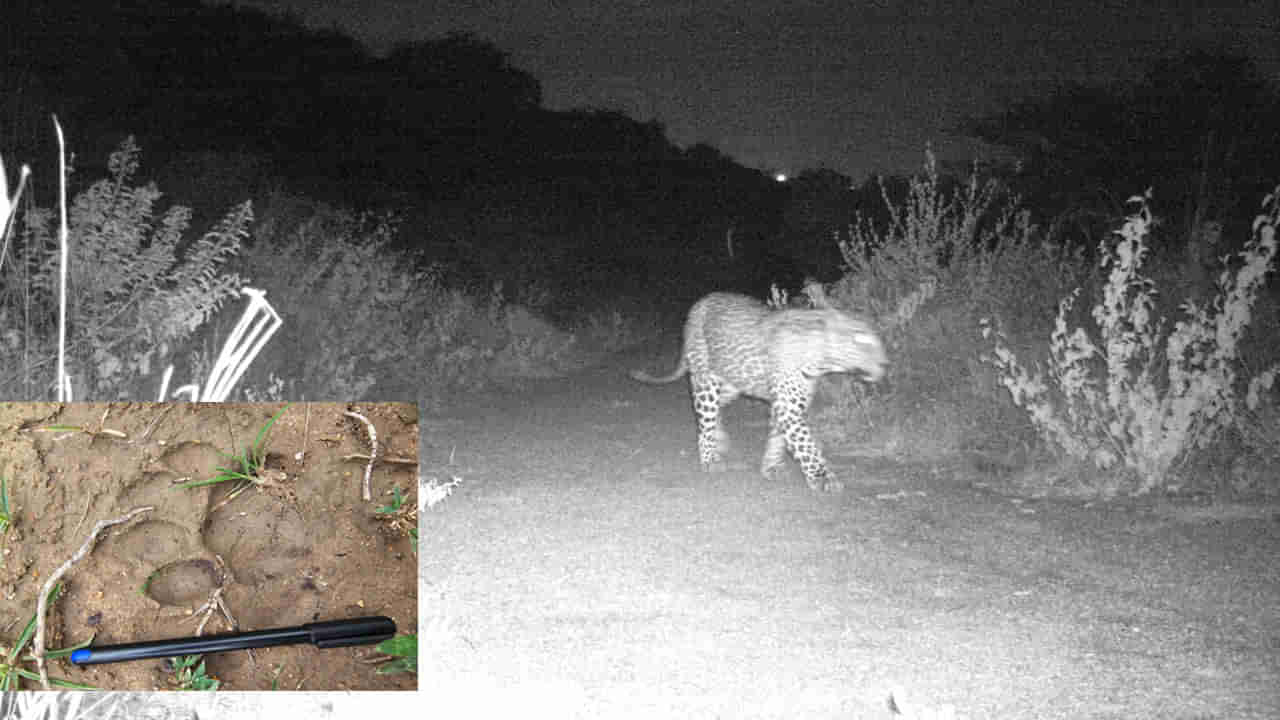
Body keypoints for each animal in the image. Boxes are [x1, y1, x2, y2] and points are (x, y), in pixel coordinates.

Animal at [631, 291, 887, 492]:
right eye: (862, 340)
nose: (885, 363)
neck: (822, 359)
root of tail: (699, 304)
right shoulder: (789, 407)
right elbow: (807, 445)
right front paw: (823, 478)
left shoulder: (785, 403)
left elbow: (778, 437)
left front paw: (771, 467)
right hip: (706, 379)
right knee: (705, 417)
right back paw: (710, 459)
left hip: (733, 382)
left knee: (716, 409)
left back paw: (720, 439)